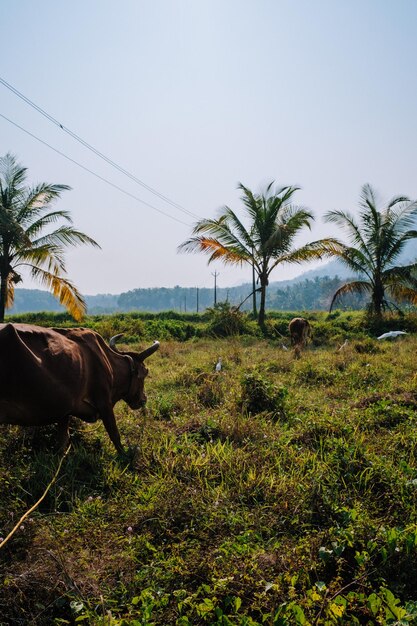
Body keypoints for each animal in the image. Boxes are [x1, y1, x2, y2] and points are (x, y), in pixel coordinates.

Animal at [0, 324, 159, 450]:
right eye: (145, 372)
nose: (143, 399)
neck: (108, 361)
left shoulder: (64, 411)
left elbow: (63, 441)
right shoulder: (104, 402)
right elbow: (115, 434)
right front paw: (125, 459)